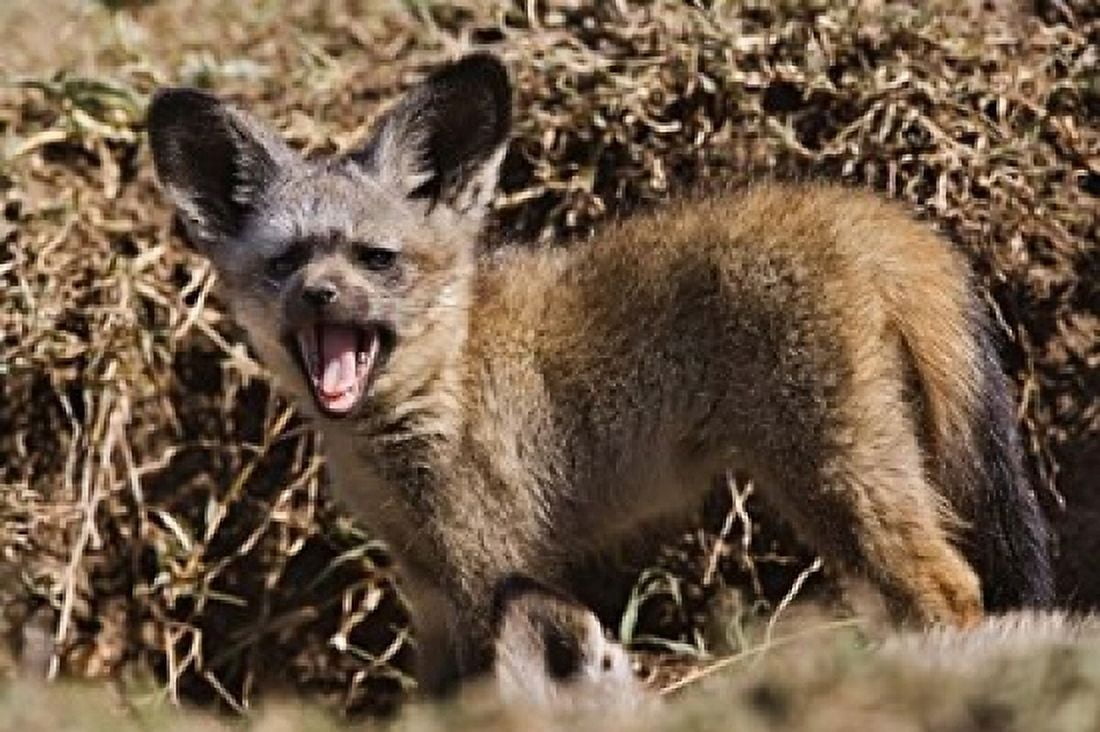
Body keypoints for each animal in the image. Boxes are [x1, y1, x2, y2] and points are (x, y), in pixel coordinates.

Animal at [147, 53, 1053, 694]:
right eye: (286, 262)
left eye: (376, 259)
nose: (320, 295)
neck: (440, 388)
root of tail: (862, 209)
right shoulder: (430, 586)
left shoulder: (487, 568)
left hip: (837, 479)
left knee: (952, 590)